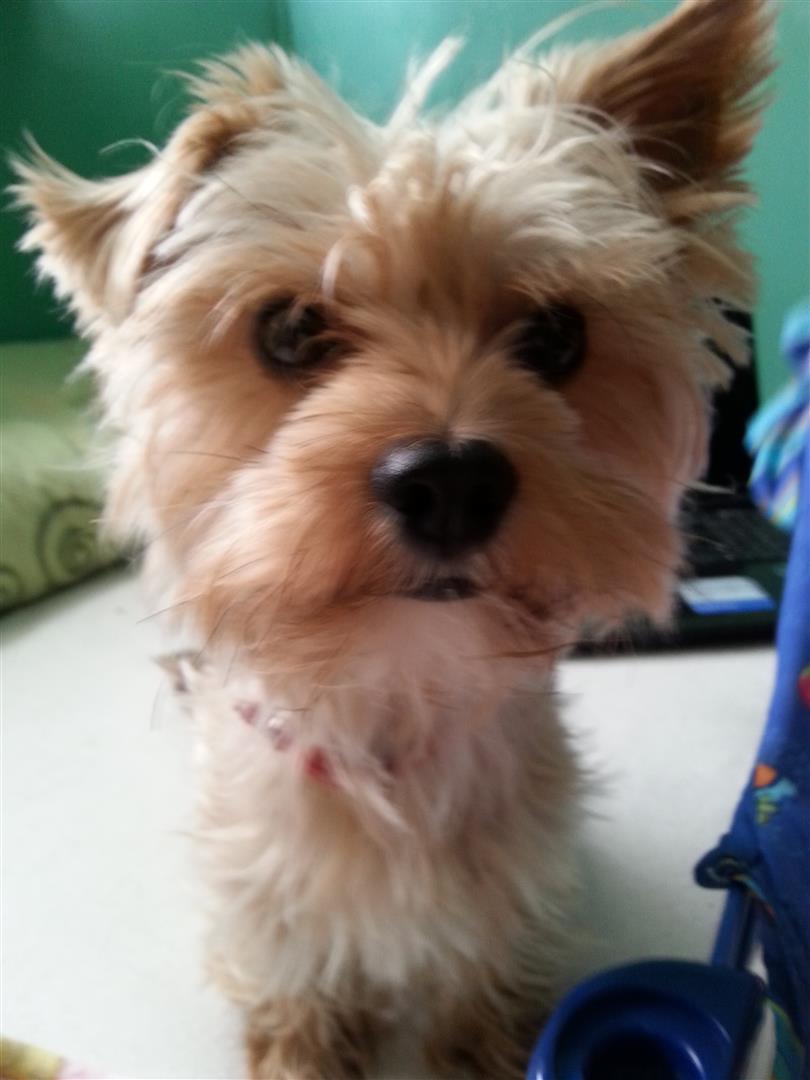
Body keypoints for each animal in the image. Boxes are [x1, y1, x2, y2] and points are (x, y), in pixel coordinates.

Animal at [14, 0, 772, 1075]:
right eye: (289, 332)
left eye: (556, 338)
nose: (450, 482)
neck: (391, 695)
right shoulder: (266, 896)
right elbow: (294, 983)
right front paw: (307, 1046)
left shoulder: (508, 888)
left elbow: (485, 982)